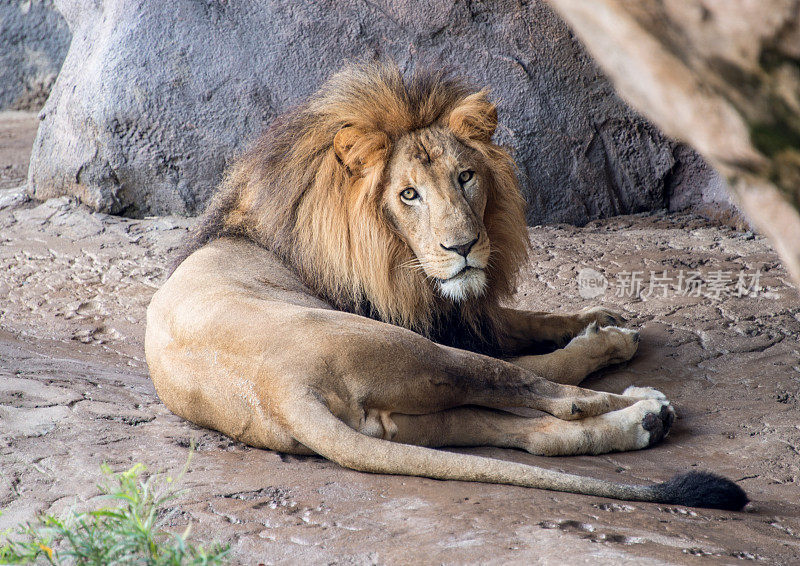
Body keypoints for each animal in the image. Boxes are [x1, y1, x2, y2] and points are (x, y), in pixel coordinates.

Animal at [145, 62, 752, 510]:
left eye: (466, 176)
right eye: (408, 195)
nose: (463, 247)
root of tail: (280, 392)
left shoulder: (457, 313)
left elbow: (524, 318)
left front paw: (594, 315)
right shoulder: (428, 319)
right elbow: (529, 347)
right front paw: (606, 331)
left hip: (410, 422)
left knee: (533, 431)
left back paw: (645, 420)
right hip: (413, 351)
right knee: (546, 388)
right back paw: (633, 390)